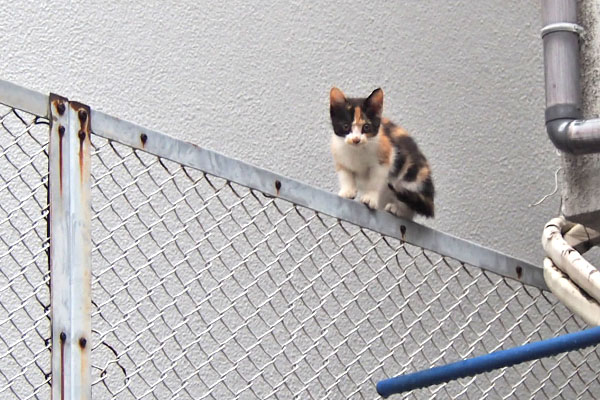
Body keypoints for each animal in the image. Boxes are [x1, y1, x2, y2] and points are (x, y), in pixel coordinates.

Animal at [330, 86, 434, 219]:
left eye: (366, 127)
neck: (357, 150)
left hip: (412, 176)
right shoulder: (340, 157)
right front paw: (347, 192)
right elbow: (345, 175)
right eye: (345, 126)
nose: (356, 139)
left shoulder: (384, 157)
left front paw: (370, 198)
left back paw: (397, 209)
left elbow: (375, 181)